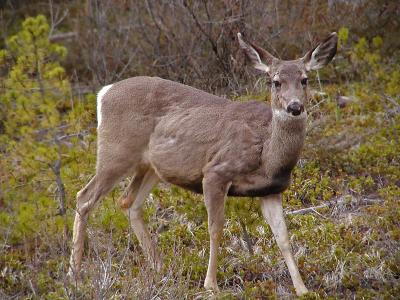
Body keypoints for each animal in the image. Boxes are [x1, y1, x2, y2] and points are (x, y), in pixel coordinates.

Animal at [69, 31, 338, 294]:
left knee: (129, 202)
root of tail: (104, 92)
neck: (268, 155)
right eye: (276, 81)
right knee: (84, 197)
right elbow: (215, 228)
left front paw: (302, 289)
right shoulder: (215, 172)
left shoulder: (270, 190)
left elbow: (282, 236)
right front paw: (211, 285)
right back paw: (75, 274)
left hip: (151, 166)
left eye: (305, 79)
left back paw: (159, 267)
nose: (295, 106)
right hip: (116, 152)